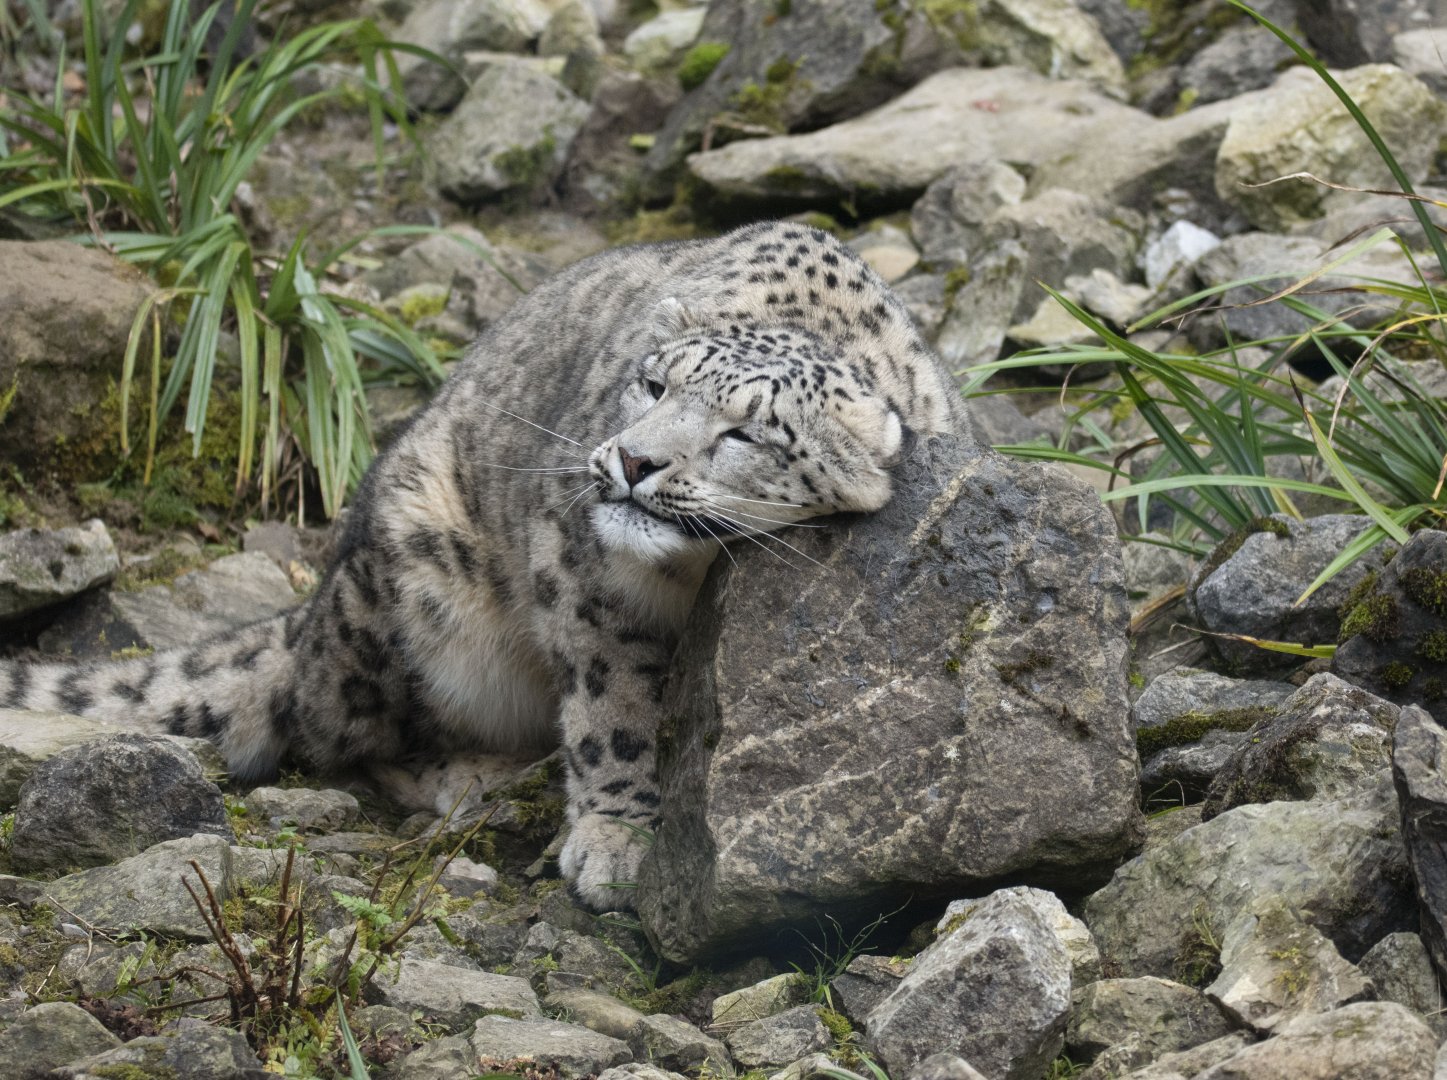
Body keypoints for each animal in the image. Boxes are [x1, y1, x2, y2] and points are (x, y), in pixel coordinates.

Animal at [0, 221, 966, 908]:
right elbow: (612, 708)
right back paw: (477, 778)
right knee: (322, 736)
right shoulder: (583, 575)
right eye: (653, 384)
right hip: (408, 592)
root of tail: (314, 610)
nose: (632, 460)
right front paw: (617, 841)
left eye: (746, 433)